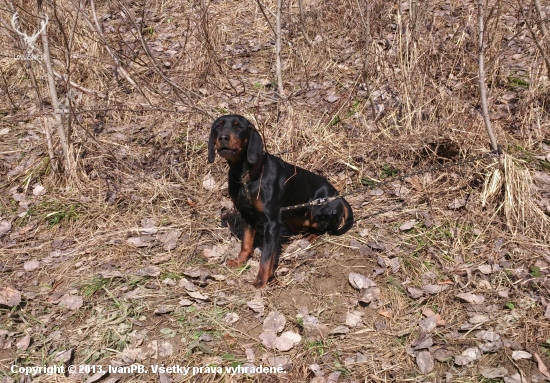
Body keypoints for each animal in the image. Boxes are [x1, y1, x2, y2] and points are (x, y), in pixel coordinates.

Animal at [209, 115, 356, 290]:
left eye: (239, 127)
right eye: (218, 127)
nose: (223, 137)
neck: (247, 177)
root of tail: (338, 196)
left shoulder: (271, 223)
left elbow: (266, 257)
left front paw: (261, 280)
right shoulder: (247, 216)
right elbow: (246, 243)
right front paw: (239, 261)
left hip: (318, 211)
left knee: (322, 229)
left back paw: (310, 236)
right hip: (290, 219)